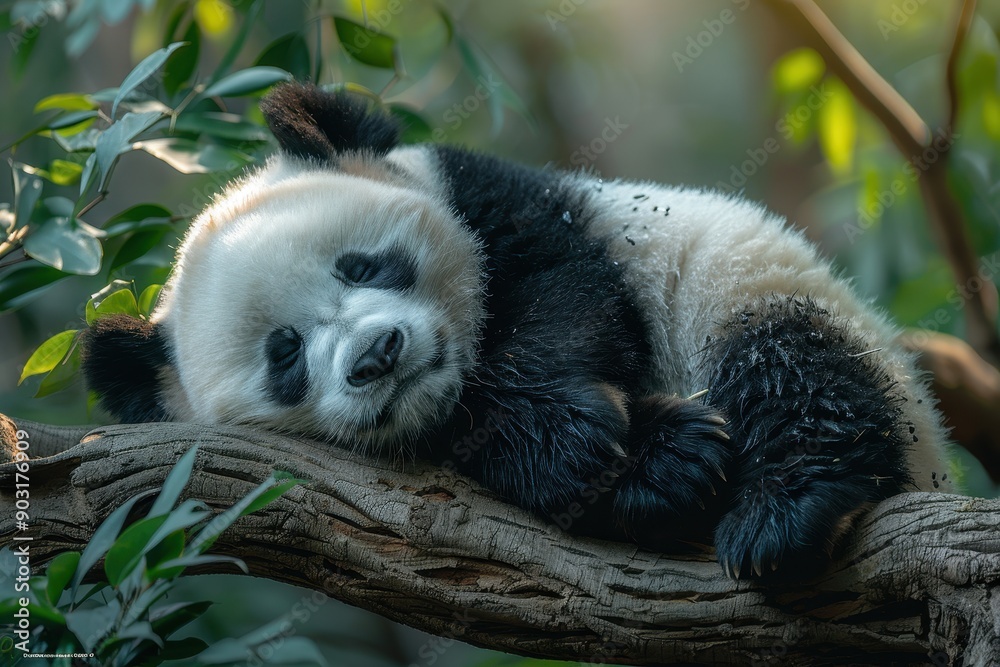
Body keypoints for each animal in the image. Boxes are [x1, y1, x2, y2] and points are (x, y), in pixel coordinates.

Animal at [82, 82, 953, 580]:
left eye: (361, 265)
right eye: (285, 352)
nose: (377, 355)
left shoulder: (501, 201)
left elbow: (562, 295)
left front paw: (600, 432)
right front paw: (656, 460)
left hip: (746, 286)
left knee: (797, 367)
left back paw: (785, 510)